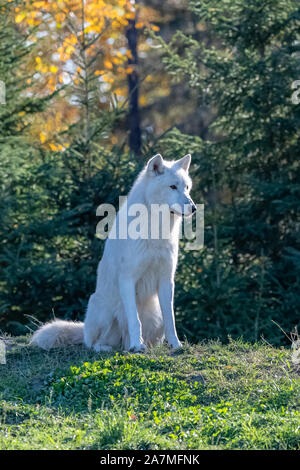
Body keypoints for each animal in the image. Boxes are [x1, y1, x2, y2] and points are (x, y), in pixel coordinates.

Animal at [31, 154, 197, 352]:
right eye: (172, 187)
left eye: (186, 188)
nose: (194, 208)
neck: (155, 231)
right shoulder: (127, 278)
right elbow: (134, 320)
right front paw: (137, 346)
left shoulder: (166, 280)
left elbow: (171, 319)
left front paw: (176, 345)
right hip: (104, 311)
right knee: (92, 343)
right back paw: (113, 348)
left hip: (155, 317)